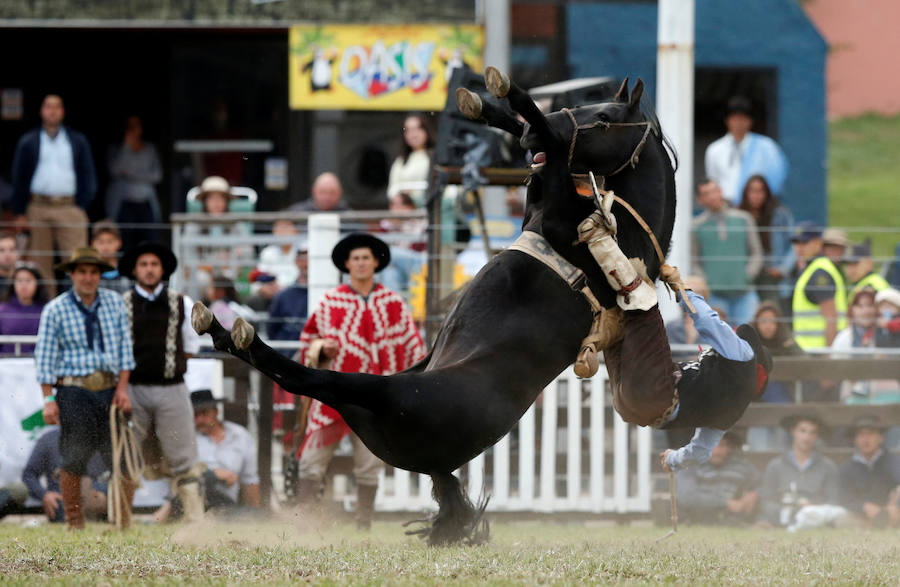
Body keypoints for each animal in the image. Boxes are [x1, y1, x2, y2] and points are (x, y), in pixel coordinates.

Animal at [191, 68, 677, 546]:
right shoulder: (541, 208)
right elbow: (540, 168)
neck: (632, 226)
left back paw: (230, 333)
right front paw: (490, 109)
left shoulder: (559, 215)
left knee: (311, 380)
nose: (539, 134)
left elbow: (553, 158)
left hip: (394, 398)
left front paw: (517, 108)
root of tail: (439, 469)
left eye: (605, 119)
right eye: (586, 106)